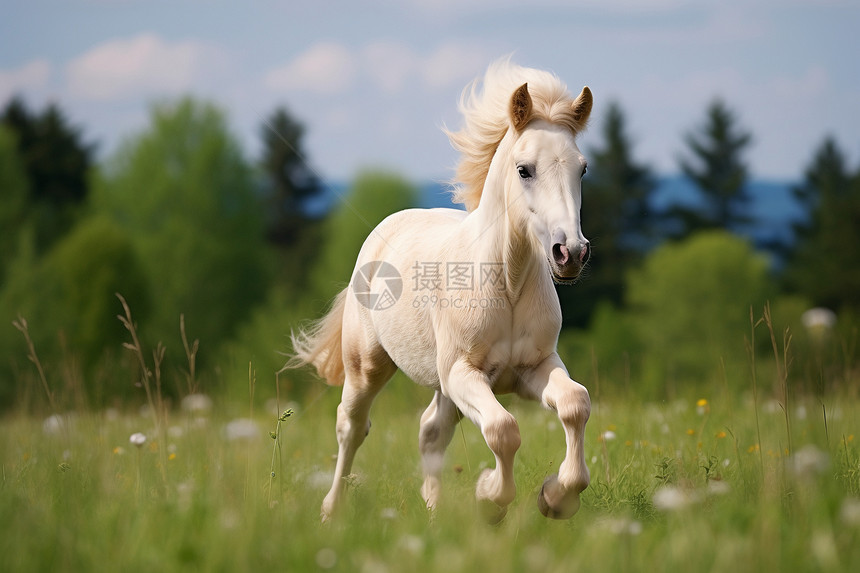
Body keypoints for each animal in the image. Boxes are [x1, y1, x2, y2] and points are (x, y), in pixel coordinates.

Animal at [292, 59, 596, 524]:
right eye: (524, 169)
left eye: (581, 169)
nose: (571, 253)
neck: (506, 285)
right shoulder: (462, 374)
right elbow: (503, 430)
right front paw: (490, 497)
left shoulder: (535, 368)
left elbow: (575, 403)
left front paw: (555, 497)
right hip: (368, 367)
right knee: (352, 426)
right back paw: (332, 509)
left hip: (441, 385)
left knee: (431, 430)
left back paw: (433, 511)